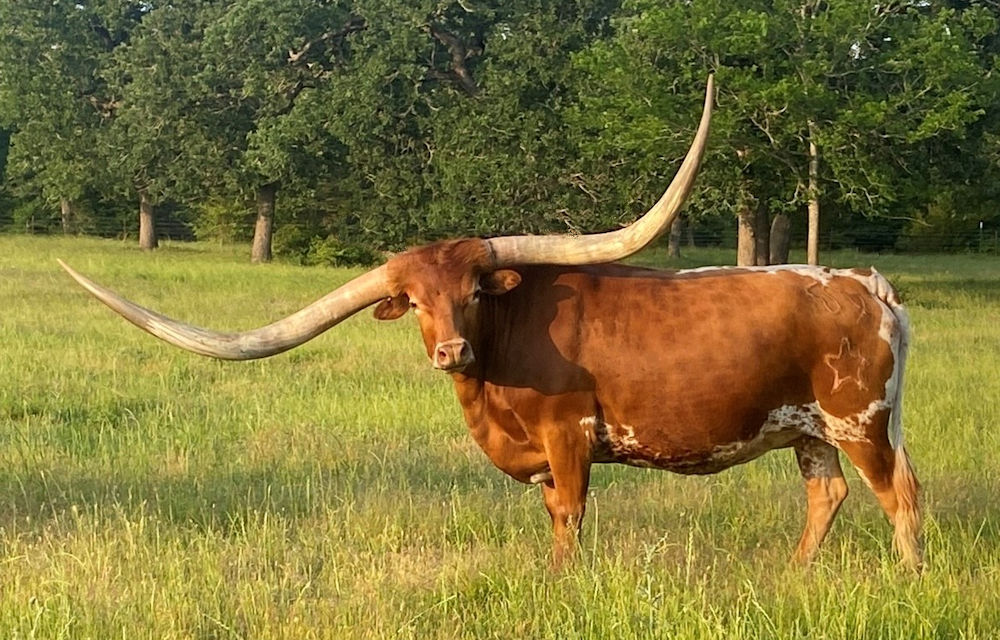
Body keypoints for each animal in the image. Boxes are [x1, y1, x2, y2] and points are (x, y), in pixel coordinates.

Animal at [59, 77, 922, 571]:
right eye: (414, 302)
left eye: (475, 288)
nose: (450, 349)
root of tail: (864, 282)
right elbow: (554, 518)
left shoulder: (570, 436)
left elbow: (572, 518)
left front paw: (565, 586)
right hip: (809, 428)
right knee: (827, 495)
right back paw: (796, 576)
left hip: (861, 421)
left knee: (899, 494)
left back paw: (911, 577)